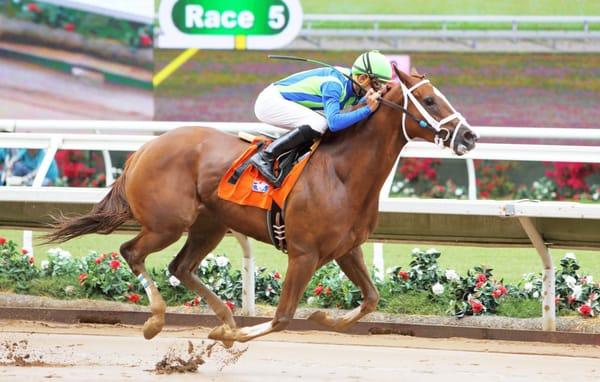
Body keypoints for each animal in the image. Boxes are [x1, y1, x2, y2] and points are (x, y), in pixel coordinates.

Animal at [47, 65, 476, 346]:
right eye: (428, 100)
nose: (469, 136)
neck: (343, 172)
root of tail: (144, 148)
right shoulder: (304, 254)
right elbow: (282, 318)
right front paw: (233, 336)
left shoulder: (346, 249)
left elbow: (370, 300)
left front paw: (318, 315)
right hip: (167, 223)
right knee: (130, 252)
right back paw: (157, 320)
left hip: (209, 224)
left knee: (180, 267)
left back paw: (222, 318)